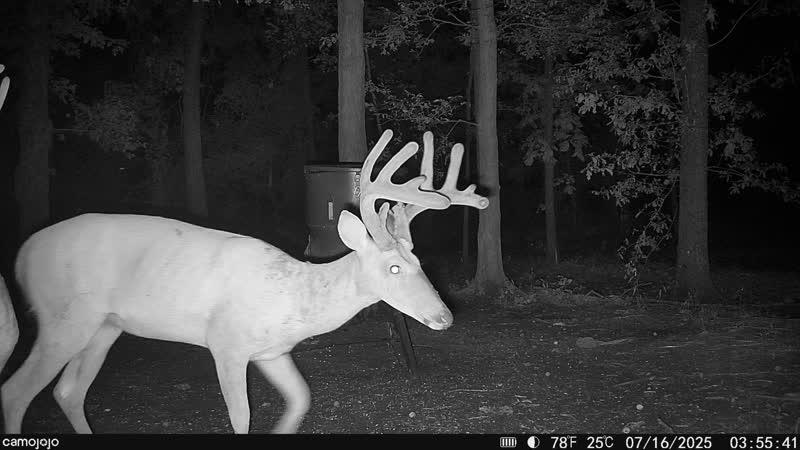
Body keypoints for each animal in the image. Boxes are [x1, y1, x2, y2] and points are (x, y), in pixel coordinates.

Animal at [1, 129, 488, 434]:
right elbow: (241, 417)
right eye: (393, 269)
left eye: (419, 260)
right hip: (63, 318)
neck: (294, 295)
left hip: (104, 327)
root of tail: (22, 255)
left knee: (67, 392)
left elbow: (301, 401)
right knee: (16, 392)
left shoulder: (273, 352)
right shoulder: (226, 343)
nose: (444, 316)